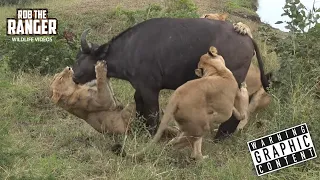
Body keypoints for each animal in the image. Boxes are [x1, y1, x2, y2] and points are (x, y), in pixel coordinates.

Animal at [71, 17, 268, 139]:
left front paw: (150, 134)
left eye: (81, 58)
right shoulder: (140, 88)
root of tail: (248, 38)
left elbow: (152, 113)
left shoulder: (150, 89)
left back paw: (221, 137)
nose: (73, 76)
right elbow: (139, 106)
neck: (130, 49)